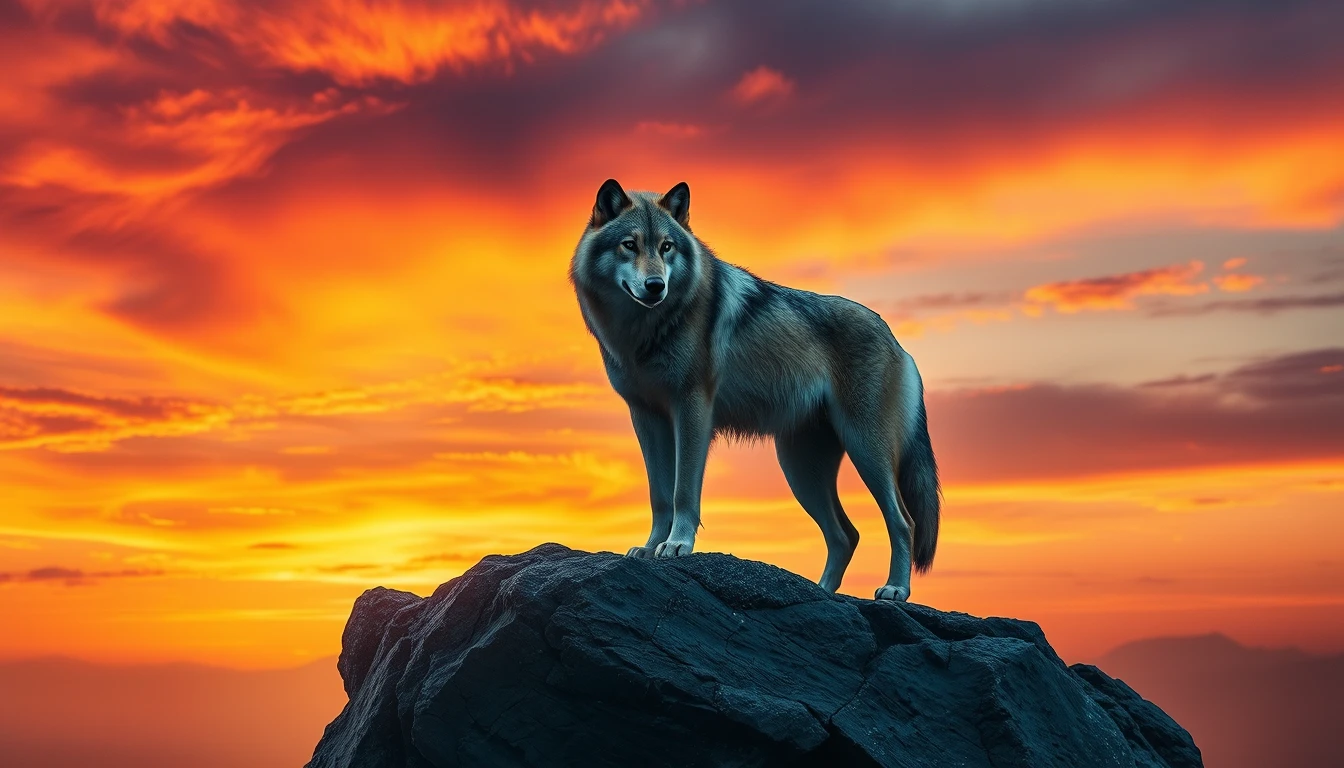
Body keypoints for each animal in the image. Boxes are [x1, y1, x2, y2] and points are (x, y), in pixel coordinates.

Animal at [570, 179, 941, 600]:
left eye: (667, 247)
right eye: (629, 245)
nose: (655, 286)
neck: (644, 332)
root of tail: (897, 341)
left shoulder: (692, 410)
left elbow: (683, 493)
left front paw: (677, 545)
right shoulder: (646, 418)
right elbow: (659, 495)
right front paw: (650, 548)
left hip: (865, 452)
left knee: (903, 522)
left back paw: (895, 589)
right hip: (801, 470)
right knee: (846, 534)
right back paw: (820, 591)